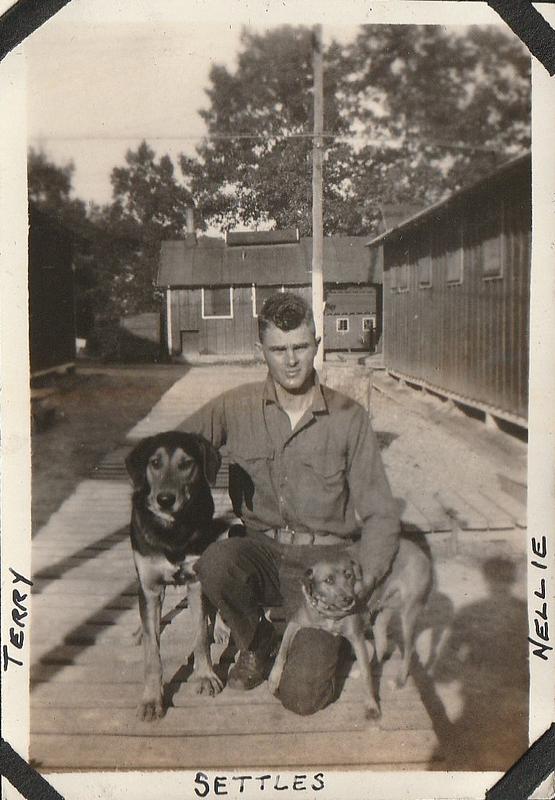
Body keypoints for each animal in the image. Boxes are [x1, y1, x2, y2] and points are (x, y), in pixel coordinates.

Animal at [126, 434, 224, 720]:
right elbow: (152, 654)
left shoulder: (197, 581)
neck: (172, 530)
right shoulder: (149, 587)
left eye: (187, 463)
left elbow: (200, 636)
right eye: (155, 463)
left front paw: (205, 676)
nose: (165, 499)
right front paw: (151, 699)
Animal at [268, 536, 432, 720]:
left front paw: (371, 706)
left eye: (349, 575)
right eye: (329, 580)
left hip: (408, 613)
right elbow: (282, 651)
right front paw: (273, 680)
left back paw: (400, 680)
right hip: (381, 615)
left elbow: (367, 677)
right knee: (381, 644)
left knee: (408, 650)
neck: (330, 611)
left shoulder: (357, 637)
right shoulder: (295, 623)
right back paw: (372, 666)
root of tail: (418, 550)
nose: (349, 599)